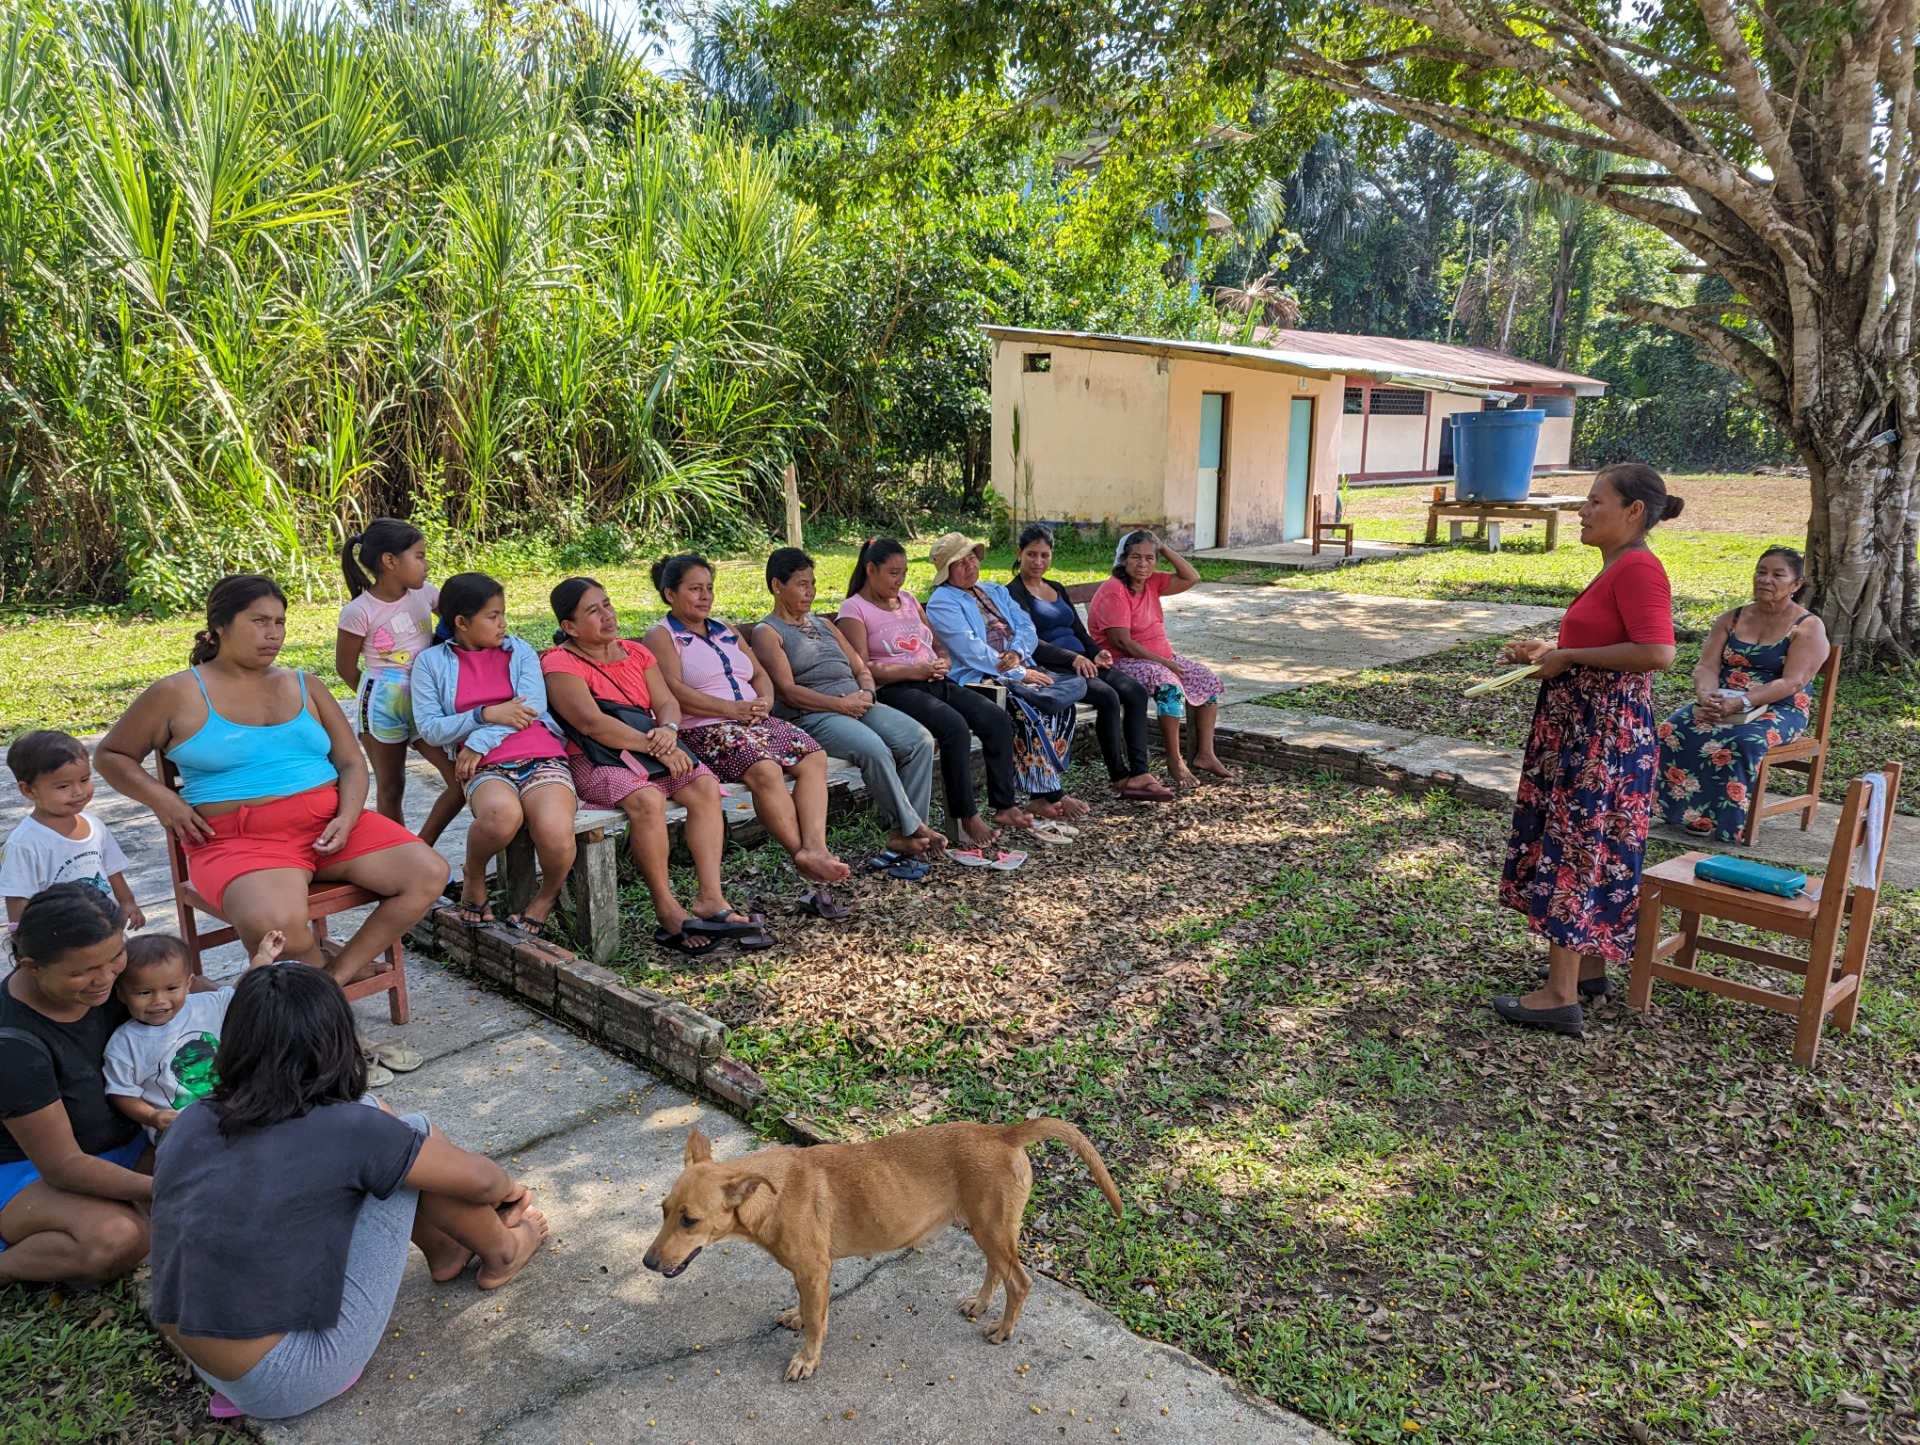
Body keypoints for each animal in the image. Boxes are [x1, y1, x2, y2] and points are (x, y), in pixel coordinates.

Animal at [645, 1113, 1121, 1373]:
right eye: (663, 1210)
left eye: (690, 1220)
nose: (647, 1263)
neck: (770, 1192)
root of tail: (1002, 1133)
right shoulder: (808, 1272)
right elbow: (806, 1308)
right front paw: (796, 1316)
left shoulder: (814, 1270)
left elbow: (817, 1322)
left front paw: (806, 1360)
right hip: (988, 1229)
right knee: (996, 1270)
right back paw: (980, 1304)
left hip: (992, 1230)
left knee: (1020, 1283)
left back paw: (1003, 1330)